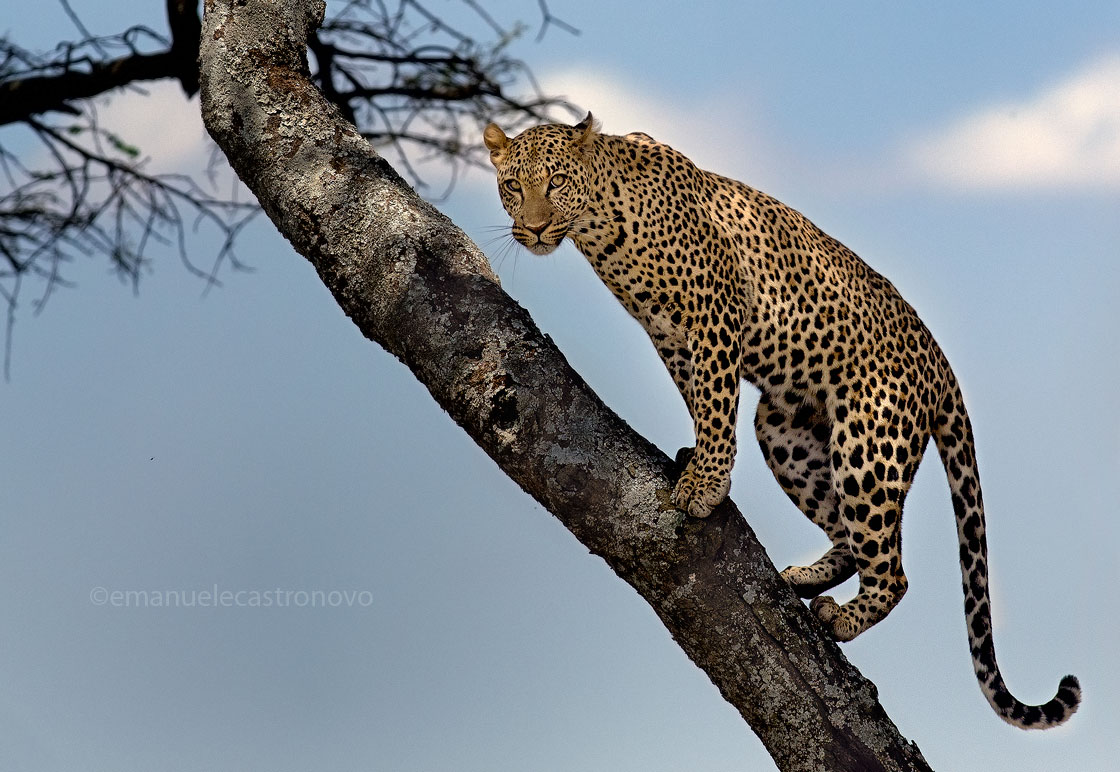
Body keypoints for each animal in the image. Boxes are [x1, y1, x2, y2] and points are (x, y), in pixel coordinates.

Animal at [483, 113, 1082, 729]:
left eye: (555, 181)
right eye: (513, 186)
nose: (533, 229)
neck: (599, 228)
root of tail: (942, 367)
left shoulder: (714, 313)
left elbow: (716, 398)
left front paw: (704, 483)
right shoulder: (668, 335)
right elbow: (699, 397)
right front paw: (699, 459)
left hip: (868, 445)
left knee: (891, 567)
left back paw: (844, 616)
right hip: (785, 433)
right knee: (848, 534)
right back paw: (806, 577)